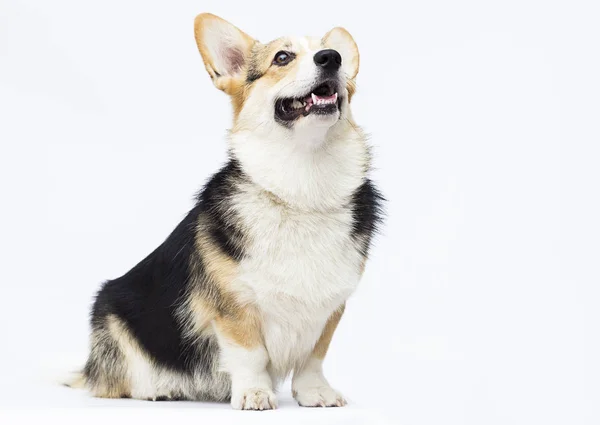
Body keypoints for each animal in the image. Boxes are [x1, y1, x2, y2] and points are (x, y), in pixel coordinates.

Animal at [65, 13, 382, 410]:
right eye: (282, 57)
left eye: (330, 51)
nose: (331, 58)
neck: (302, 187)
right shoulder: (234, 307)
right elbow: (250, 354)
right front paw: (254, 393)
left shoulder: (329, 309)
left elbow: (313, 356)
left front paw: (316, 394)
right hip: (113, 313)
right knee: (116, 382)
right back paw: (159, 389)